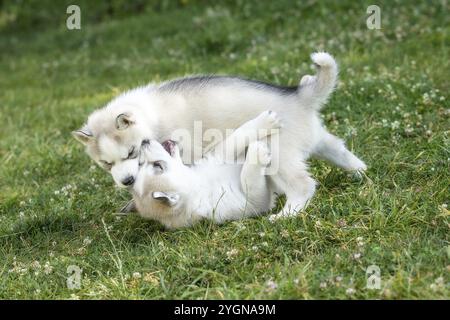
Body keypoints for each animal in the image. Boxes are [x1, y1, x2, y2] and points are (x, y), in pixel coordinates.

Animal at [132, 111, 282, 229]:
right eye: (158, 165)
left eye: (141, 164)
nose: (144, 142)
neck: (200, 185)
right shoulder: (255, 202)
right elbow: (248, 178)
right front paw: (258, 151)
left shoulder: (220, 156)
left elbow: (238, 136)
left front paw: (265, 122)